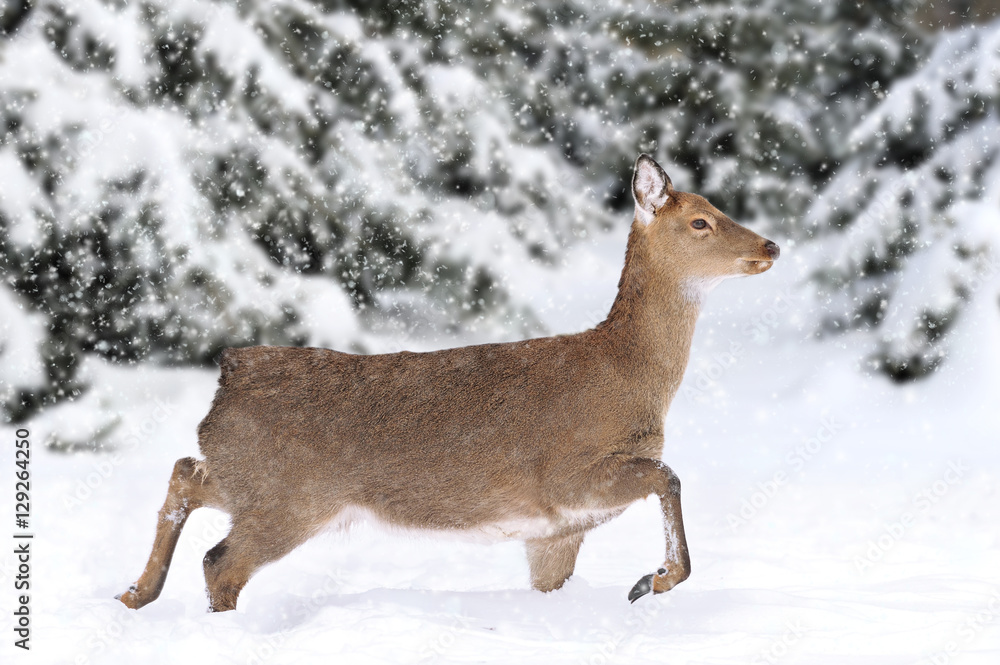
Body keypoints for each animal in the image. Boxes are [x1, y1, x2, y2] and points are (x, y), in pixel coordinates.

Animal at [119, 156, 780, 612]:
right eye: (700, 221)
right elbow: (669, 475)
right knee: (220, 561)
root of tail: (229, 375)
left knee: (186, 472)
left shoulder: (555, 532)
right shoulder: (567, 473)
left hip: (253, 480)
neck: (628, 375)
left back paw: (134, 593)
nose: (771, 244)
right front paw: (653, 580)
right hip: (289, 496)